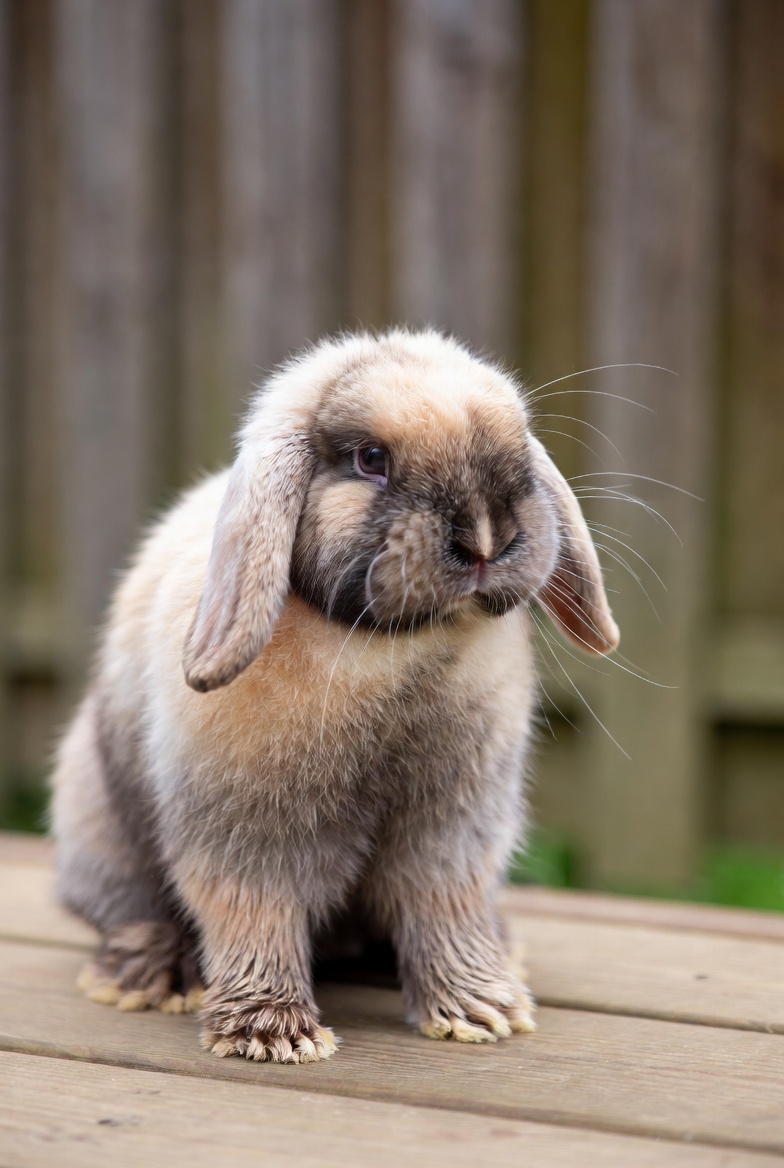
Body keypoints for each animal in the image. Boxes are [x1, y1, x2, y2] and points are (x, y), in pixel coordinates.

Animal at [51, 328, 619, 1064]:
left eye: (519, 445)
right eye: (370, 458)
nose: (487, 537)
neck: (389, 648)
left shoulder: (454, 827)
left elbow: (445, 905)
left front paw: (481, 1010)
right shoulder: (244, 830)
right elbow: (253, 914)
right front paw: (273, 1032)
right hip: (97, 826)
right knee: (132, 915)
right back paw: (150, 979)